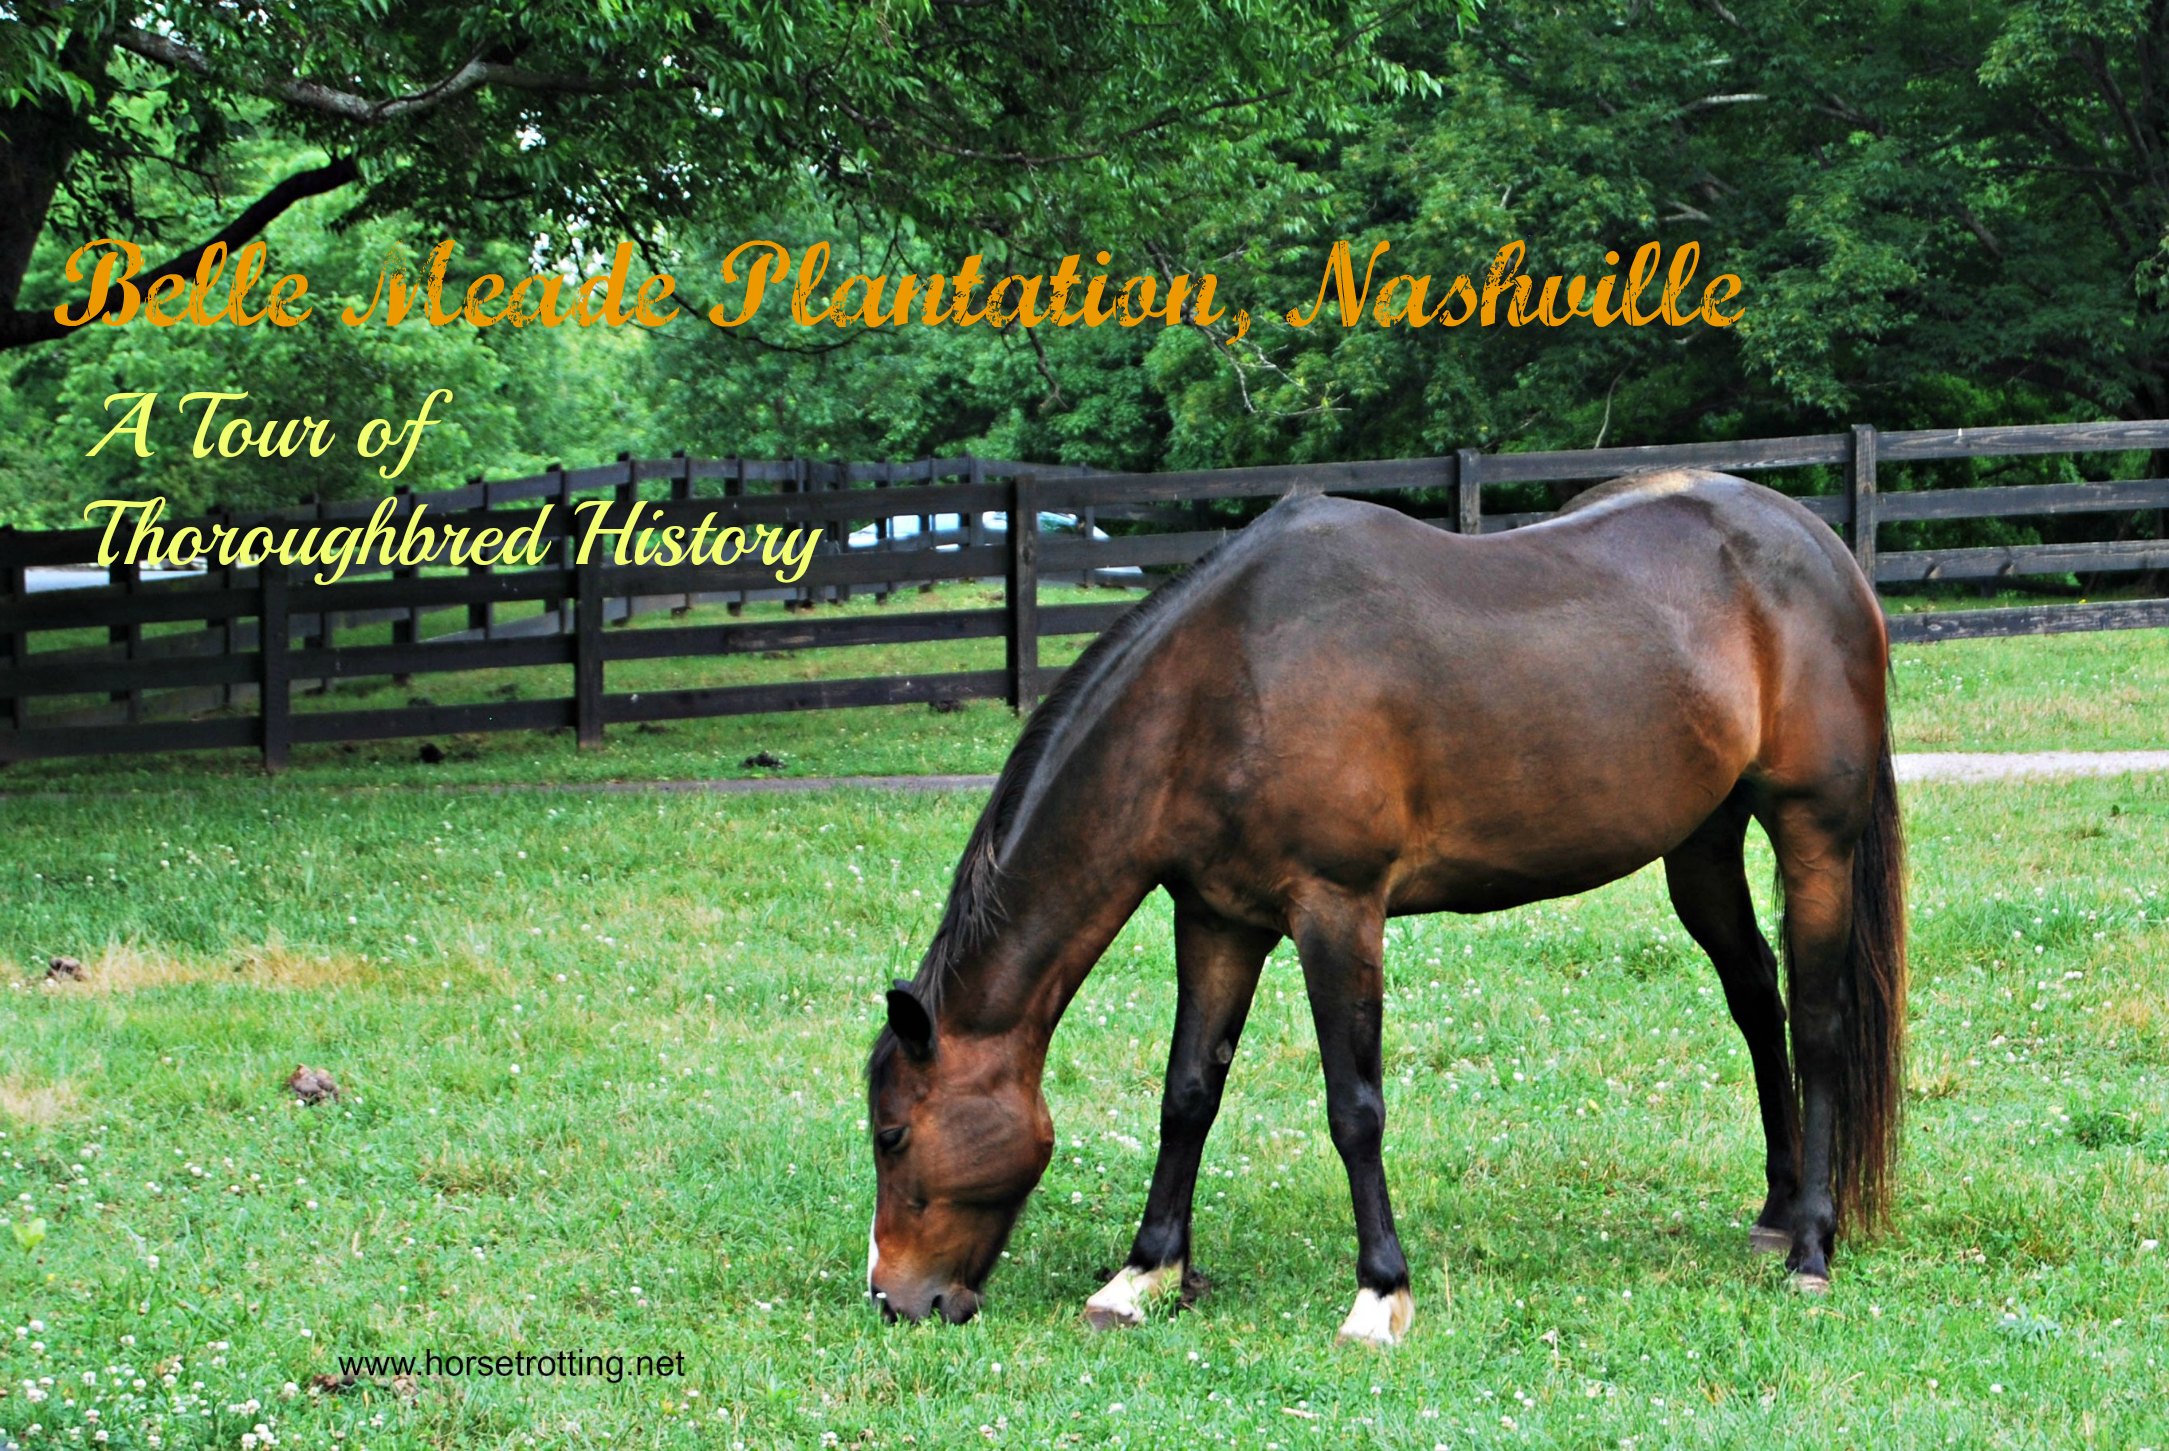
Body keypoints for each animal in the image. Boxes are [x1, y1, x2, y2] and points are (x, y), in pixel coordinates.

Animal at [865, 470, 1906, 1345]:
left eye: (892, 1133)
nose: (894, 1299)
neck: (1224, 682)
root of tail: (1817, 544)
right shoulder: (1217, 919)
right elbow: (1187, 1093)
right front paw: (1143, 1273)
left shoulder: (1336, 912)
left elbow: (1353, 1106)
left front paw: (1379, 1291)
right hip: (1700, 844)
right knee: (1756, 999)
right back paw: (1775, 1211)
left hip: (1812, 831)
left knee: (1816, 1023)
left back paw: (1811, 1246)